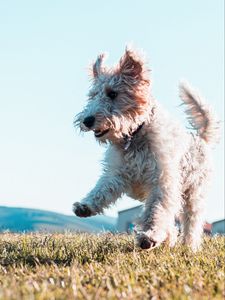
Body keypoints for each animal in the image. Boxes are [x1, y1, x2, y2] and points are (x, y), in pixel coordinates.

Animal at [72, 47, 220, 251]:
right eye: (92, 95)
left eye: (112, 93)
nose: (87, 120)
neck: (134, 136)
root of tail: (201, 138)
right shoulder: (117, 173)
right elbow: (102, 189)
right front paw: (85, 206)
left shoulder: (162, 181)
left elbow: (156, 211)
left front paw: (149, 236)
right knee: (171, 222)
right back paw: (168, 240)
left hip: (194, 194)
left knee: (190, 223)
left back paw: (188, 246)